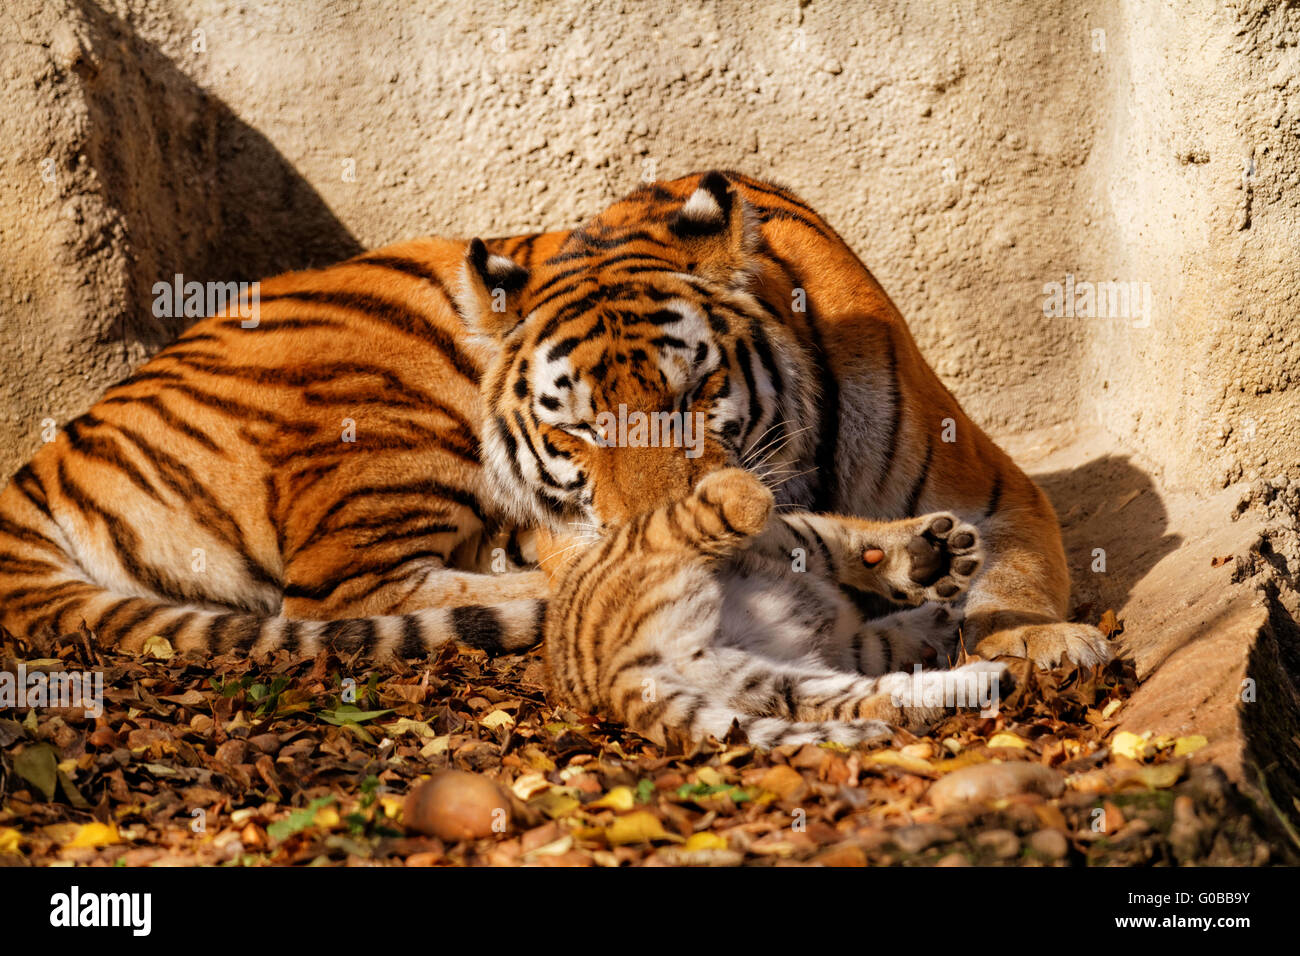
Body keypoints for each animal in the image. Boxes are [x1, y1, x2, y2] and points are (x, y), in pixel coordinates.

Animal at [0, 167, 1107, 671]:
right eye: (575, 432)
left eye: (691, 395)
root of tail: (42, 464)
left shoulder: (994, 490)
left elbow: (1012, 575)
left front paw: (1041, 637)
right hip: (390, 420)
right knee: (340, 599)